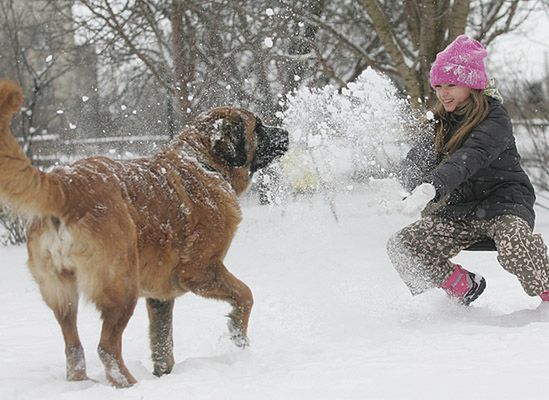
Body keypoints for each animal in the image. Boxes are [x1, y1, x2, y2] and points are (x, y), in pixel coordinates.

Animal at [0, 79, 288, 388]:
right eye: (257, 126)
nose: (285, 132)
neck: (203, 163)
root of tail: (64, 185)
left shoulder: (160, 296)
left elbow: (163, 343)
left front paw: (165, 374)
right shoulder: (201, 270)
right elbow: (245, 294)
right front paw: (237, 336)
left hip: (63, 295)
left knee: (73, 347)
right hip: (122, 286)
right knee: (107, 347)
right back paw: (129, 384)